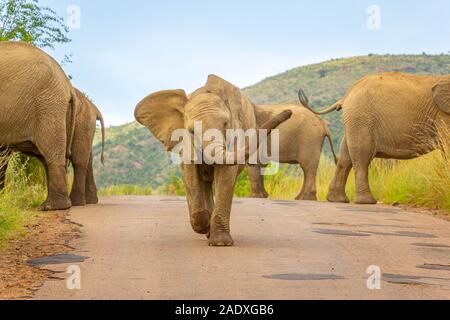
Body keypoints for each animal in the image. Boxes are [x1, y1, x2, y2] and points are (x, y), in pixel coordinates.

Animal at [135, 75, 294, 248]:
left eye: (226, 124)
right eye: (191, 131)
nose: (289, 112)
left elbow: (226, 174)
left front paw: (220, 243)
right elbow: (190, 175)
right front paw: (203, 227)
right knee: (205, 183)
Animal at [298, 71, 450, 204]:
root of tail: (346, 96)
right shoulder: (443, 115)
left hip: (355, 121)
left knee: (345, 157)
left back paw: (337, 200)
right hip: (362, 119)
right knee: (362, 157)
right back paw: (367, 202)